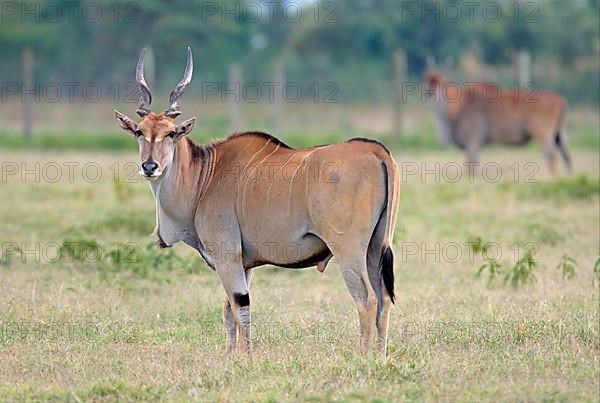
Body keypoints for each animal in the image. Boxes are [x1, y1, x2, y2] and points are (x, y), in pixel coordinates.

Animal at [114, 48, 400, 356]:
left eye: (171, 133)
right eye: (140, 132)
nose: (149, 166)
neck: (204, 176)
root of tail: (376, 151)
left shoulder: (227, 257)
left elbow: (240, 306)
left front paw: (246, 357)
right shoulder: (243, 263)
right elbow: (229, 310)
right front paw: (229, 355)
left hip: (348, 250)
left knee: (367, 299)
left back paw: (363, 357)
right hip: (375, 247)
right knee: (384, 298)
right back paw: (380, 356)